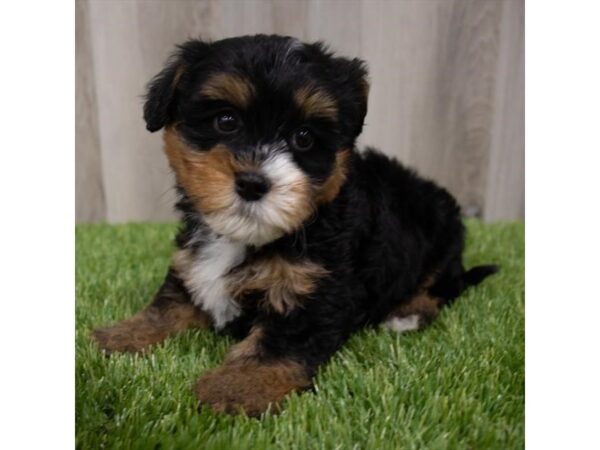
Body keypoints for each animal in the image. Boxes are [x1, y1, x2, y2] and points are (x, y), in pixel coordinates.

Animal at [92, 33, 496, 416]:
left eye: (304, 138)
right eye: (226, 121)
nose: (252, 183)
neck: (249, 237)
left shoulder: (315, 289)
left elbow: (278, 343)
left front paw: (235, 388)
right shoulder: (191, 263)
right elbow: (170, 304)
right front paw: (120, 335)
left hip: (443, 237)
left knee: (442, 285)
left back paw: (407, 314)